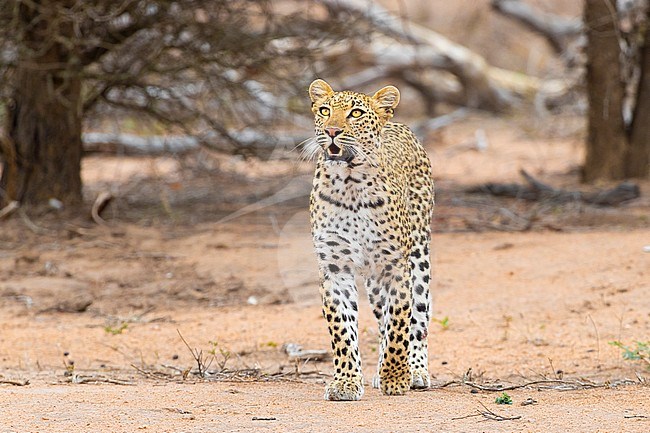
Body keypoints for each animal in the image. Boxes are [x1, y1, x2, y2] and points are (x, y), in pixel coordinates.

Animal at [306, 79, 436, 400]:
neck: (349, 183)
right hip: (375, 281)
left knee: (418, 318)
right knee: (381, 320)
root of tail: (398, 123)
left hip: (419, 257)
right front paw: (346, 381)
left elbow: (400, 324)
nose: (332, 131)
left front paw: (396, 377)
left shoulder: (395, 267)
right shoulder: (334, 268)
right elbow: (342, 329)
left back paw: (415, 370)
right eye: (324, 110)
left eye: (355, 113)